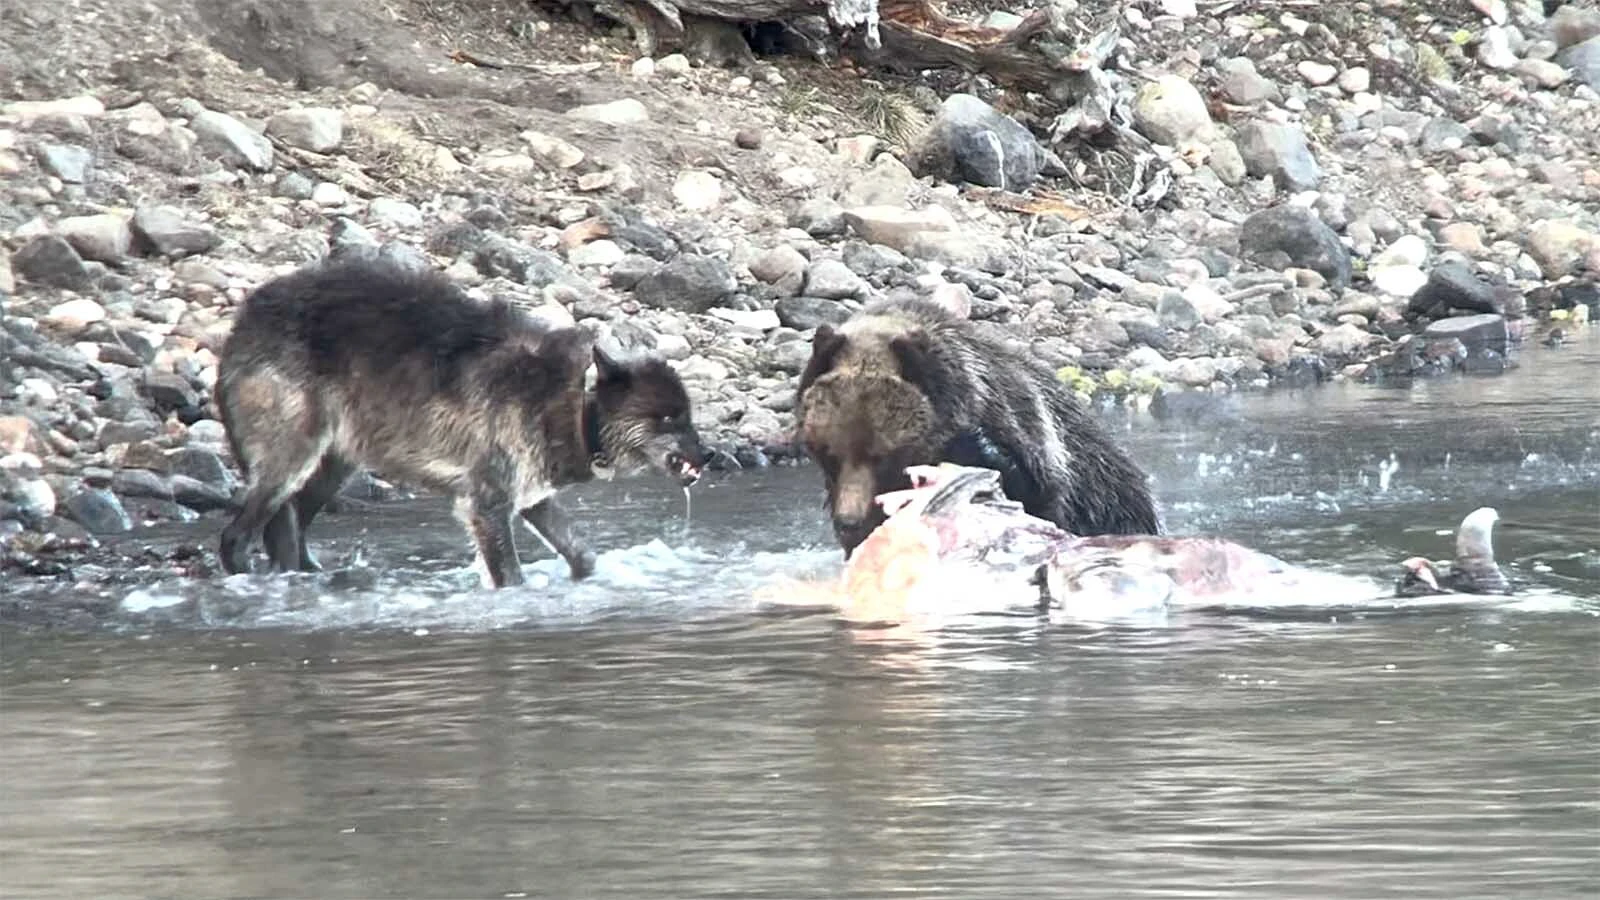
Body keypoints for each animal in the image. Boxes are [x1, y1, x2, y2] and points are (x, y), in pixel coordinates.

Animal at [214, 253, 706, 589]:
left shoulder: (533, 498)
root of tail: (243, 321)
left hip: (333, 467)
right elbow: (511, 576)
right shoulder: (486, 505)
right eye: (669, 418)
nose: (710, 456)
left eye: (689, 417)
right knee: (235, 536)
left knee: (289, 528)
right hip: (290, 461)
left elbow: (582, 554)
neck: (573, 403)